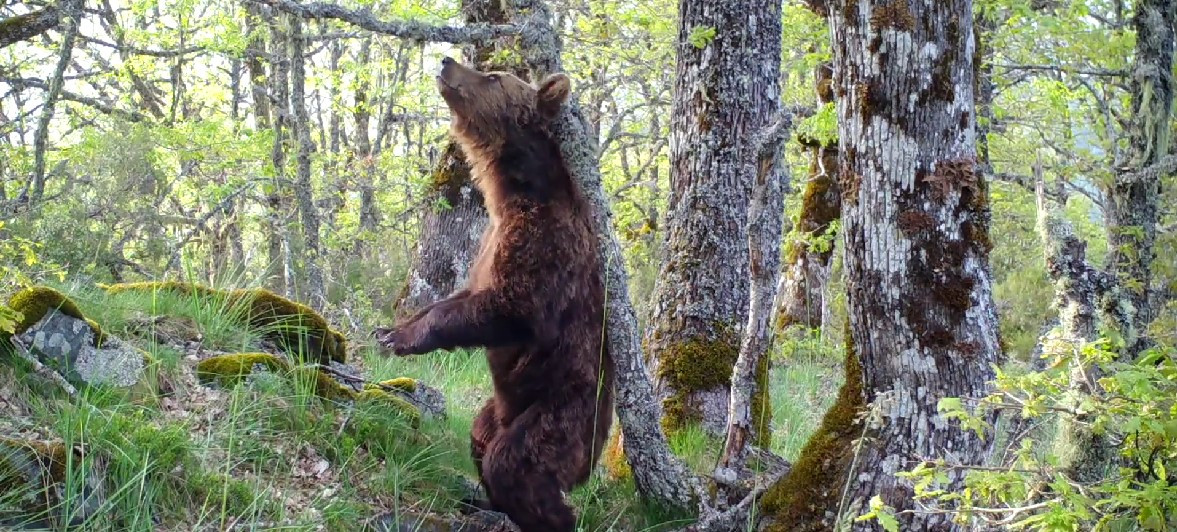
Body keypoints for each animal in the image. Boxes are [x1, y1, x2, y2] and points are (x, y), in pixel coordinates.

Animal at [374, 58, 616, 532]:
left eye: (493, 77)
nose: (448, 62)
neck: (509, 193)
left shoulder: (546, 245)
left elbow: (511, 308)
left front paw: (404, 340)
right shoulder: (487, 244)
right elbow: (457, 296)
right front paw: (390, 330)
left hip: (563, 407)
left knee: (516, 464)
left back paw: (549, 513)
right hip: (501, 407)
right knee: (480, 437)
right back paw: (482, 498)